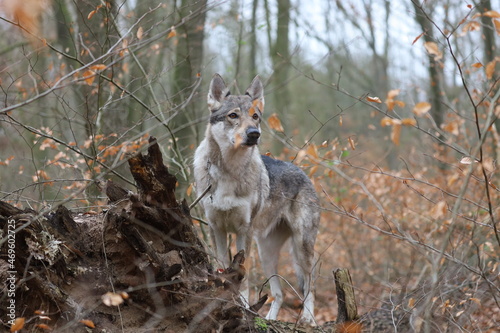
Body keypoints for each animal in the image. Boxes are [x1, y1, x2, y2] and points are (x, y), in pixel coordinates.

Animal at [193, 74, 322, 322]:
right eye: (233, 115)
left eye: (255, 117)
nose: (254, 134)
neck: (229, 172)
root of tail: (303, 173)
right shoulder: (216, 228)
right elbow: (223, 267)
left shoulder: (245, 230)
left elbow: (243, 278)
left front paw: (242, 307)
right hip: (266, 252)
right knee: (279, 294)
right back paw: (270, 319)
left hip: (301, 247)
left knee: (309, 287)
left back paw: (308, 319)